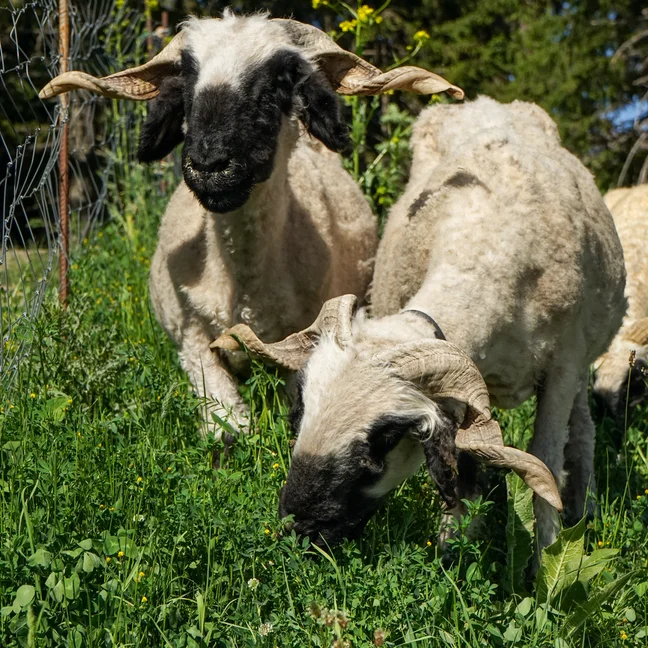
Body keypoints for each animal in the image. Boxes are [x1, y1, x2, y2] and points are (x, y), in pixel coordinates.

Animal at [39, 12, 463, 434]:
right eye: (187, 78)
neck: (242, 287)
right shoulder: (192, 342)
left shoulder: (301, 343)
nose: (209, 165)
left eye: (281, 80)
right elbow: (229, 426)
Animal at [214, 96, 626, 553]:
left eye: (387, 438)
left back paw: (584, 509)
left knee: (582, 433)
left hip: (583, 361)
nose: (299, 527)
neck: (486, 245)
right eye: (301, 407)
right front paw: (453, 549)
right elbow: (465, 467)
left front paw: (545, 560)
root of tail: (488, 102)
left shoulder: (562, 367)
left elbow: (546, 465)